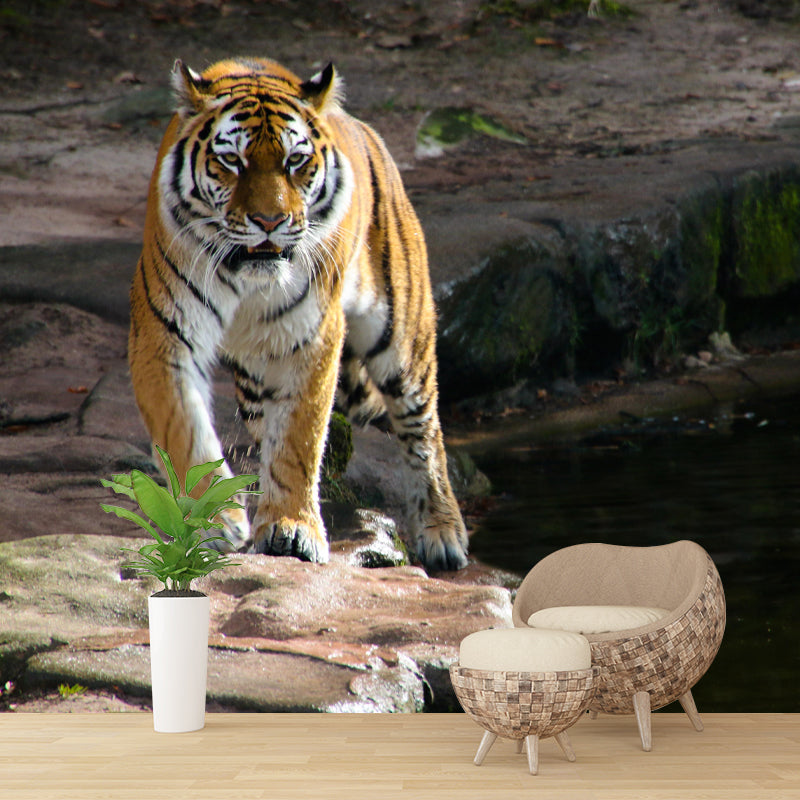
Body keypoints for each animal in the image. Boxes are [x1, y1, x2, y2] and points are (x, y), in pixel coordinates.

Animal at [128, 56, 469, 571]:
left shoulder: (309, 336)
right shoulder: (162, 335)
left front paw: (291, 528)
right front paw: (216, 520)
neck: (247, 277)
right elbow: (185, 431)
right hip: (253, 379)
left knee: (423, 432)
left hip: (402, 338)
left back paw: (443, 533)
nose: (270, 222)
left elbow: (297, 439)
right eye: (233, 161)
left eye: (294, 161)